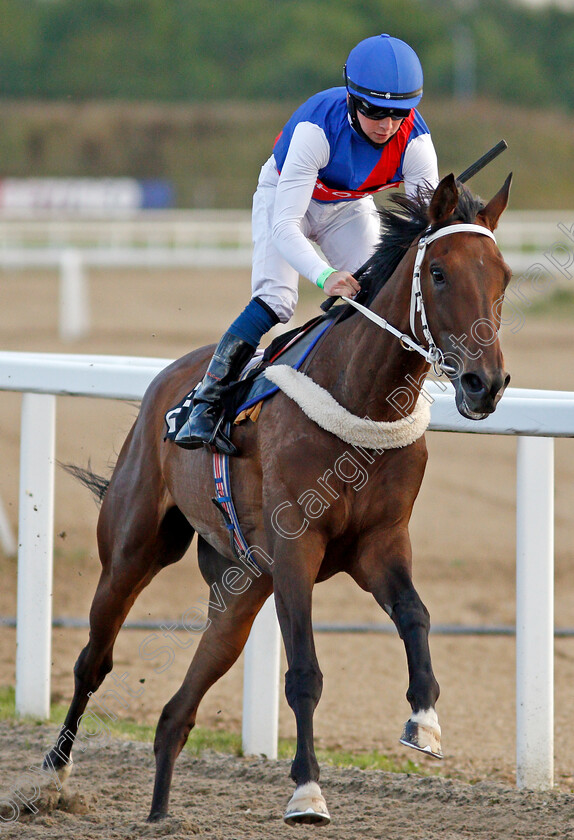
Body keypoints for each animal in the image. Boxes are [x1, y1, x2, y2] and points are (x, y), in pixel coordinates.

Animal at [44, 174, 512, 824]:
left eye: (503, 278)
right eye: (438, 273)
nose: (484, 383)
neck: (362, 398)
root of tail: (165, 382)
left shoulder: (381, 543)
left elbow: (416, 615)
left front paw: (424, 721)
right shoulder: (297, 547)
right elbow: (304, 673)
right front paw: (307, 790)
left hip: (241, 585)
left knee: (177, 708)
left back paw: (159, 813)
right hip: (133, 550)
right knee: (95, 658)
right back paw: (54, 776)